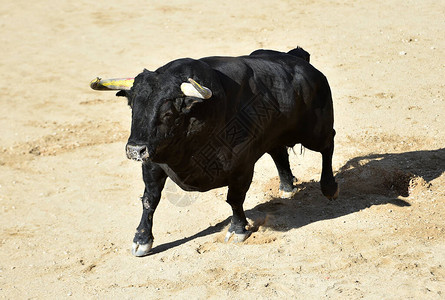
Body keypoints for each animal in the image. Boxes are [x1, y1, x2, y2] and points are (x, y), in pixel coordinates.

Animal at [92, 47, 338, 255]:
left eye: (167, 114)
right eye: (133, 108)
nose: (135, 150)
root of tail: (297, 58)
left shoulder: (241, 166)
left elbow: (235, 199)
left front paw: (238, 229)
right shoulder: (152, 164)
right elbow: (149, 200)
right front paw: (142, 240)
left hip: (315, 131)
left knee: (328, 144)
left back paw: (329, 187)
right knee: (278, 151)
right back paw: (287, 187)